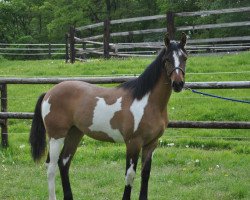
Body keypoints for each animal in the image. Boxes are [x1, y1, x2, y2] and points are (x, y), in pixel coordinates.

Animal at [29, 32, 188, 200]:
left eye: (184, 57)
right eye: (167, 59)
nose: (178, 84)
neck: (147, 101)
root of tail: (49, 93)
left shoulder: (151, 143)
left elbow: (145, 174)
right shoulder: (133, 143)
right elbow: (130, 175)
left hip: (74, 133)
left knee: (64, 163)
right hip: (56, 136)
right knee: (51, 167)